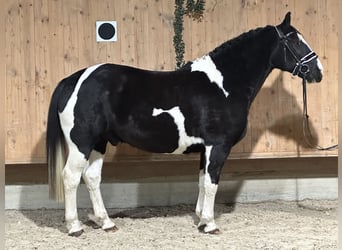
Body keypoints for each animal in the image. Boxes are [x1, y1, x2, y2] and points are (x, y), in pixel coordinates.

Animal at [46, 12, 324, 236]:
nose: (318, 71)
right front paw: (210, 225)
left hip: (99, 142)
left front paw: (201, 219)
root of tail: (72, 80)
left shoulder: (205, 149)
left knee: (92, 177)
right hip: (81, 143)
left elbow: (202, 182)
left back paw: (106, 223)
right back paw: (74, 227)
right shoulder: (217, 146)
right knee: (71, 177)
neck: (223, 85)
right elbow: (212, 184)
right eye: (294, 41)